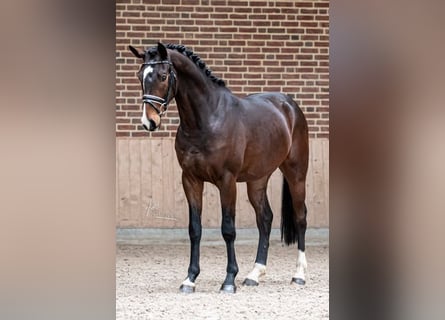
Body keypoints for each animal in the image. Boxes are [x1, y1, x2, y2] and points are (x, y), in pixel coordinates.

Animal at [128, 42, 308, 292]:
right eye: (139, 76)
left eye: (163, 76)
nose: (149, 122)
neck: (207, 119)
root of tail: (290, 105)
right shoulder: (190, 180)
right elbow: (195, 229)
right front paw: (190, 279)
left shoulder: (227, 181)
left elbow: (228, 229)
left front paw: (229, 280)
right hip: (257, 180)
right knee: (265, 219)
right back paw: (254, 274)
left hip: (296, 173)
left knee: (301, 217)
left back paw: (299, 274)